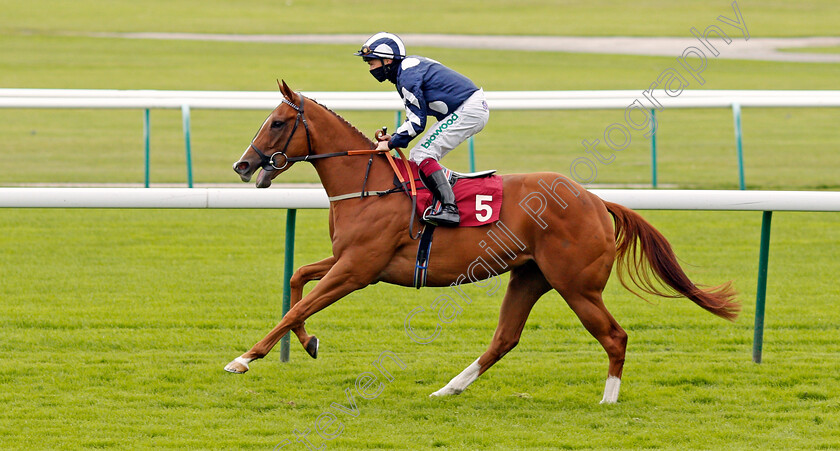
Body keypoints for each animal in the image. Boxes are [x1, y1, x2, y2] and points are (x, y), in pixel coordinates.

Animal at [226, 82, 740, 406]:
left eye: (276, 123)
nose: (243, 165)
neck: (369, 185)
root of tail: (596, 200)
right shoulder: (347, 260)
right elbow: (297, 282)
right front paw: (309, 342)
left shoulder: (357, 269)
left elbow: (296, 305)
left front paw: (243, 359)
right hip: (530, 276)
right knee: (504, 338)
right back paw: (448, 389)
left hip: (577, 286)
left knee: (614, 336)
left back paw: (608, 399)